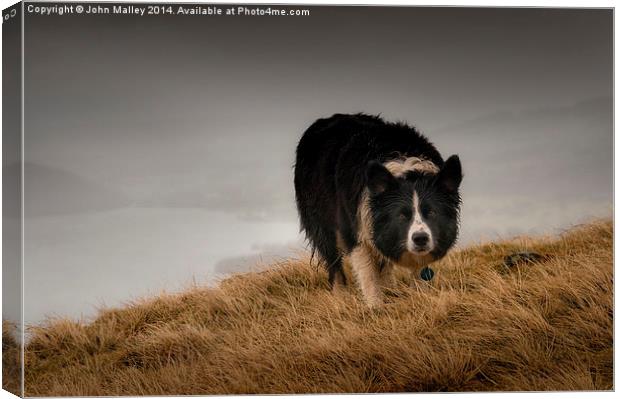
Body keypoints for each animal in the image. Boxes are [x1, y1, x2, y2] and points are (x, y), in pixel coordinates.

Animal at [294, 114, 460, 308]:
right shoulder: (355, 228)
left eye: (432, 213)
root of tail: (326, 118)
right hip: (322, 223)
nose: (420, 239)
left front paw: (420, 298)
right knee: (333, 260)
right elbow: (368, 273)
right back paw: (340, 296)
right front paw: (375, 307)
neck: (404, 169)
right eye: (401, 216)